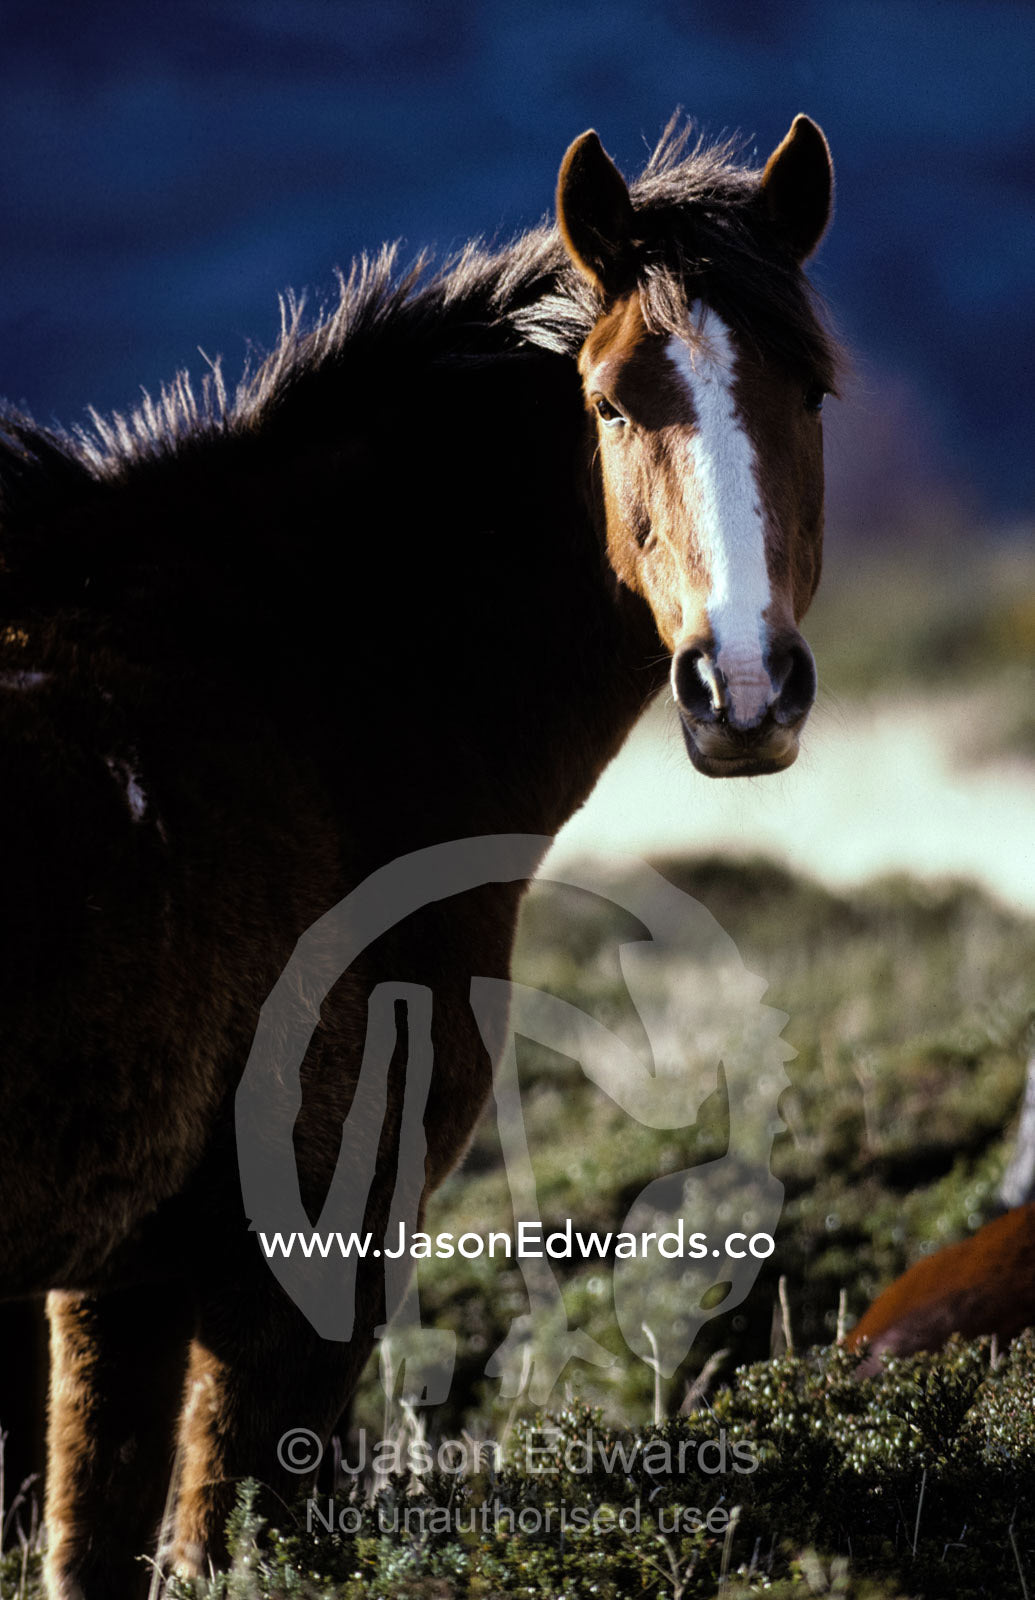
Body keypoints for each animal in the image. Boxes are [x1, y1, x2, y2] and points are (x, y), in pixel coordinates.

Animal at [0, 111, 837, 1596]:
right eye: (611, 400)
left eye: (812, 392)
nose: (740, 691)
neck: (298, 684)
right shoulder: (303, 1256)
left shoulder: (119, 1271)